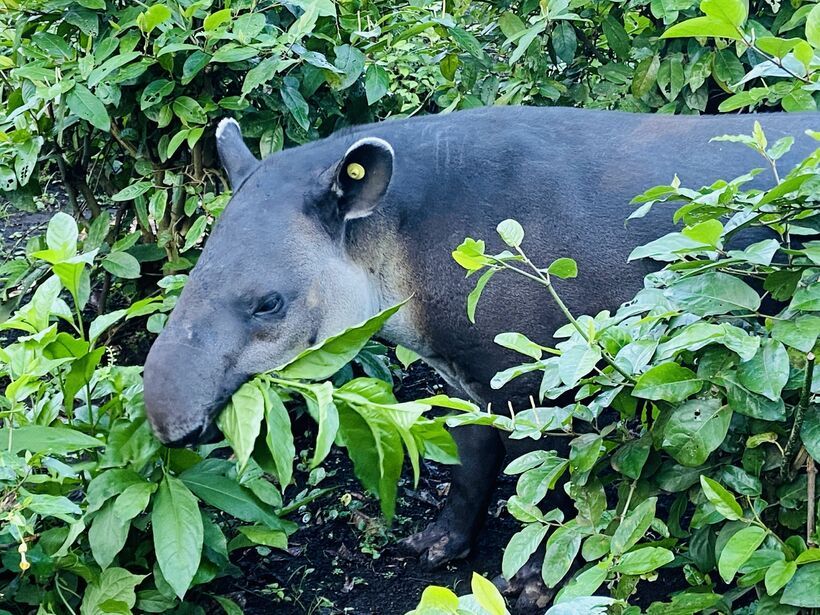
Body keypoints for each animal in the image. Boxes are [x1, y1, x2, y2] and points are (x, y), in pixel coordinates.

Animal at [143, 106, 818, 581]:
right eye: (195, 271)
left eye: (269, 304)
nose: (167, 421)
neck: (403, 238)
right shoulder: (465, 370)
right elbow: (470, 458)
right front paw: (436, 544)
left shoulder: (552, 366)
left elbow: (555, 477)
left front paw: (534, 583)